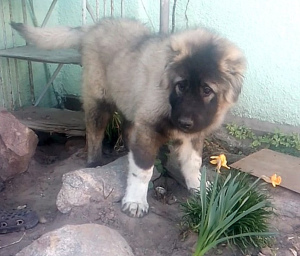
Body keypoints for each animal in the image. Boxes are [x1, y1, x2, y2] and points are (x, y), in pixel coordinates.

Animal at [11, 18, 246, 218]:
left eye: (207, 90)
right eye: (181, 85)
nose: (184, 123)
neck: (168, 98)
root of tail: (93, 27)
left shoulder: (191, 134)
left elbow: (192, 162)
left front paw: (199, 187)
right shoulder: (148, 128)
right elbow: (143, 171)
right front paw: (135, 201)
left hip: (130, 104)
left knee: (126, 129)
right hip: (99, 99)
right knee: (94, 133)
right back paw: (94, 162)